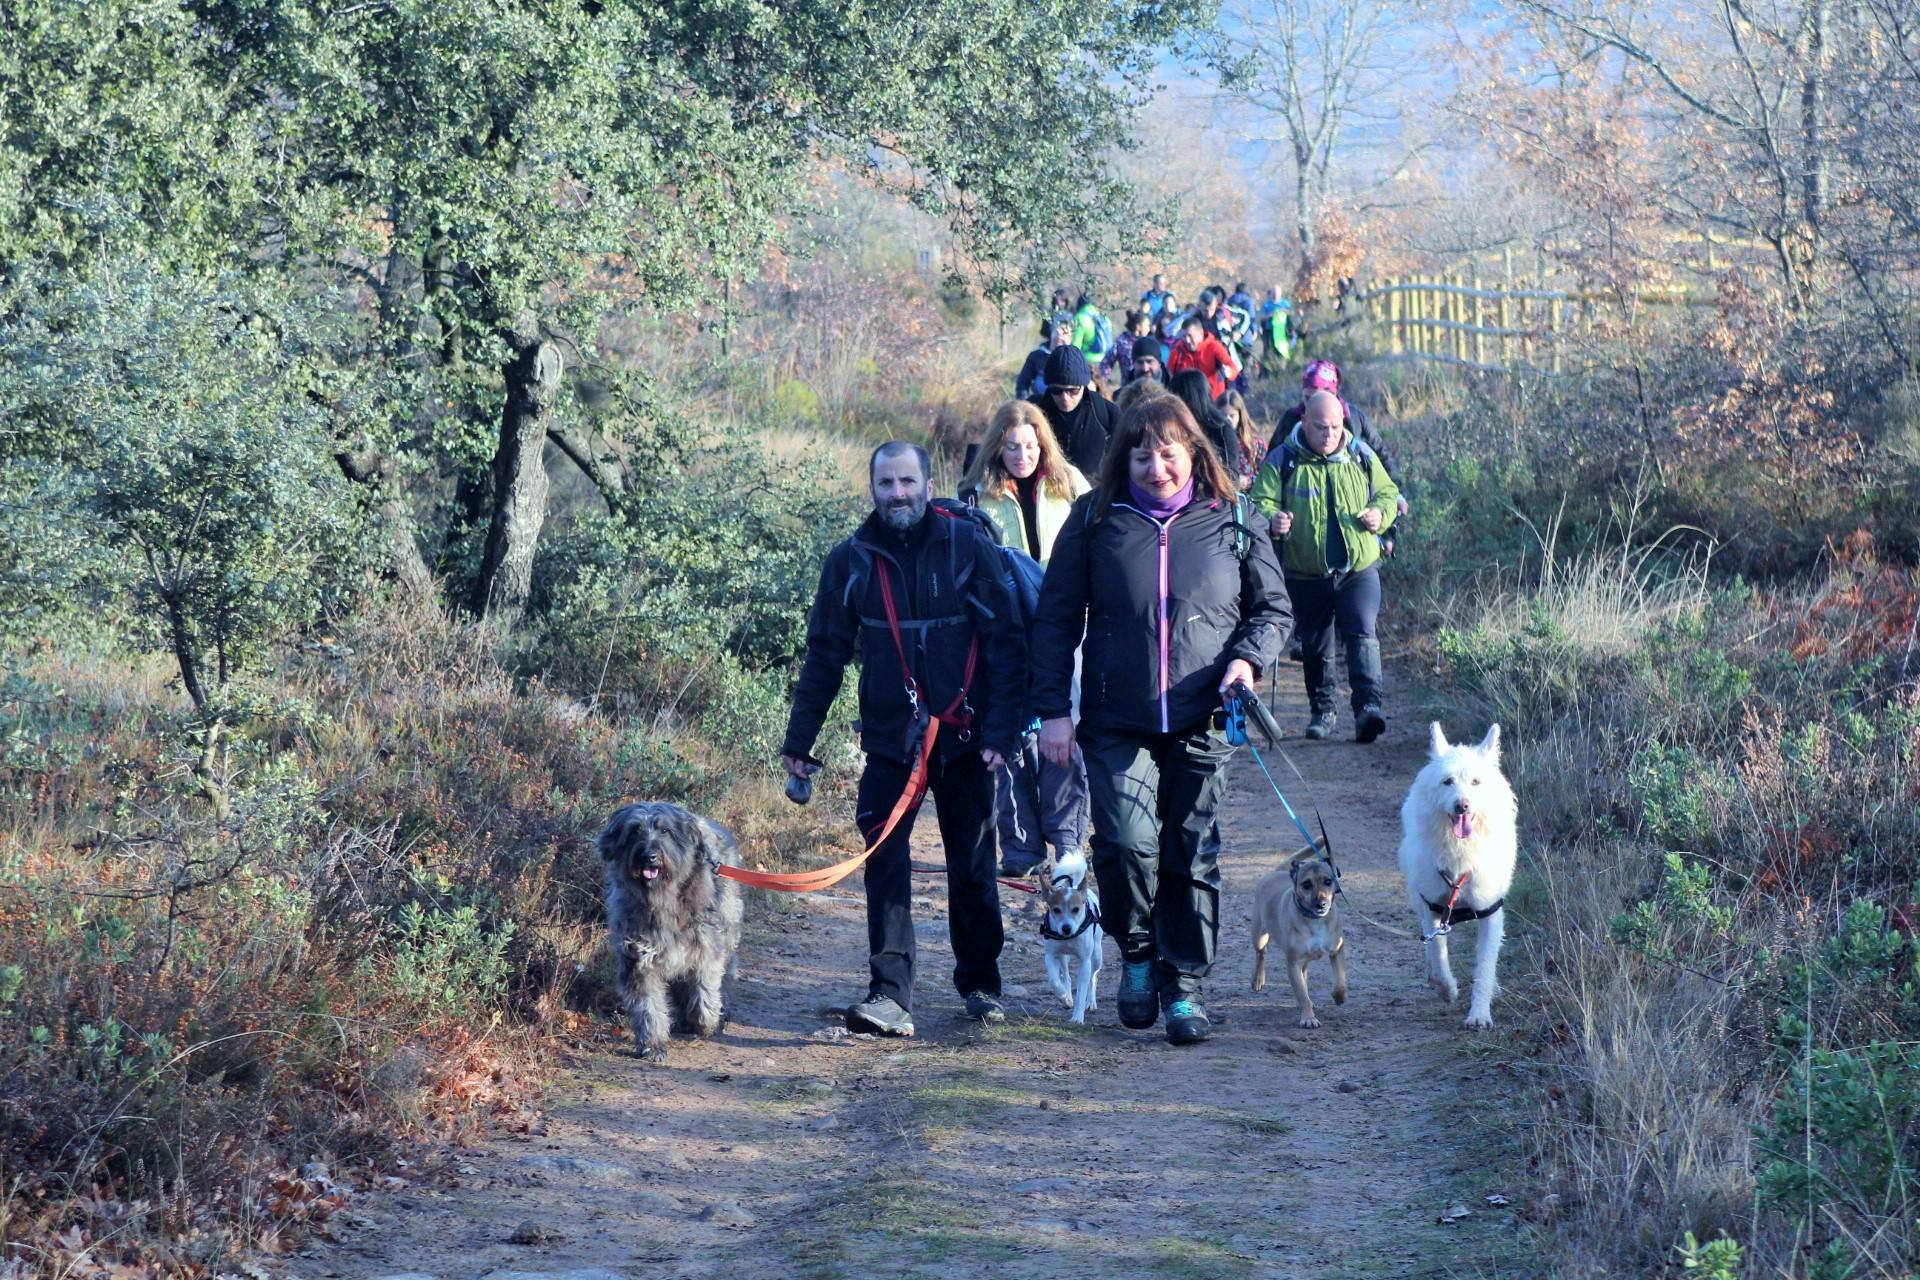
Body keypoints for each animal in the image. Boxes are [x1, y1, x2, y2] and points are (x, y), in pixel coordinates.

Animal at [595, 802, 744, 1059]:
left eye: (665, 831)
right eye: (634, 831)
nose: (649, 856)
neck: (663, 899)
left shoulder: (706, 948)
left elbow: (704, 991)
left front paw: (705, 1022)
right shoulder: (638, 958)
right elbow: (648, 1006)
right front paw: (652, 1043)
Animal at [1044, 844, 1105, 1028]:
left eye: (1076, 909)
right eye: (1056, 910)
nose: (1066, 928)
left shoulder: (1085, 961)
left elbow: (1082, 989)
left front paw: (1078, 1016)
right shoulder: (1050, 955)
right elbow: (1055, 981)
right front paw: (1064, 996)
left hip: (1096, 956)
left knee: (1093, 978)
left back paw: (1090, 1003)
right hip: (1063, 957)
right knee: (1066, 975)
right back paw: (1067, 997)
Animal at [1251, 852, 1344, 1028]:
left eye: (1328, 881)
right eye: (1306, 884)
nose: (1321, 904)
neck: (1315, 921)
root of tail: (1276, 872)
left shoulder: (1337, 951)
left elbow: (1340, 979)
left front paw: (1339, 996)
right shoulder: (1293, 963)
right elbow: (1301, 994)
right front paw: (1308, 1018)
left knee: (1304, 974)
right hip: (1259, 937)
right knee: (1261, 954)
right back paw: (1257, 980)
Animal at [1405, 721, 1520, 1028]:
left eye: (1476, 782)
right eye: (1448, 782)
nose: (1462, 806)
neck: (1461, 851)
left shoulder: (1491, 912)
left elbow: (1486, 966)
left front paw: (1479, 1013)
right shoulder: (1434, 907)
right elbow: (1438, 952)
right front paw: (1447, 988)